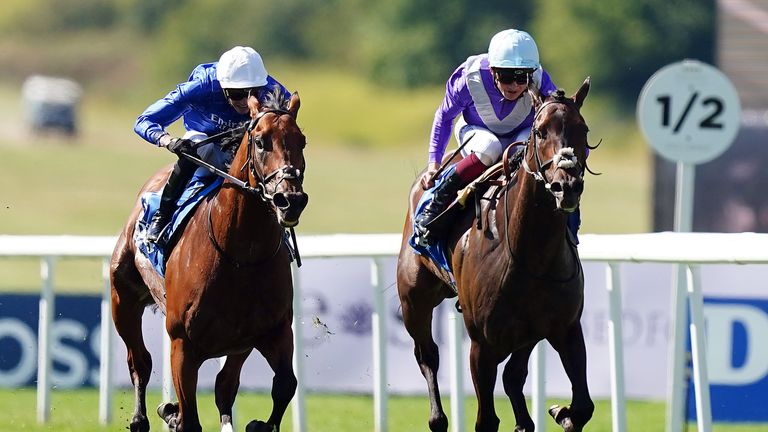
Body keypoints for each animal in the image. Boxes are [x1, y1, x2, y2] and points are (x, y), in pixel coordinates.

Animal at [109, 91, 308, 432]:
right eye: (260, 141)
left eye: (302, 141)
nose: (290, 200)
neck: (241, 258)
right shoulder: (183, 344)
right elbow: (189, 419)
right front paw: (173, 414)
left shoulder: (275, 332)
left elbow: (285, 385)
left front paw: (258, 425)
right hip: (123, 300)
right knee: (140, 361)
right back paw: (141, 418)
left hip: (239, 345)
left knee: (224, 385)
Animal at [396, 78, 592, 432]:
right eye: (540, 131)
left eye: (582, 129)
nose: (566, 186)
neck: (532, 256)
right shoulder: (482, 345)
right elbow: (486, 420)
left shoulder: (566, 328)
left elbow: (583, 407)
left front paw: (561, 411)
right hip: (413, 300)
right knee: (428, 355)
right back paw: (438, 418)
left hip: (527, 334)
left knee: (514, 376)